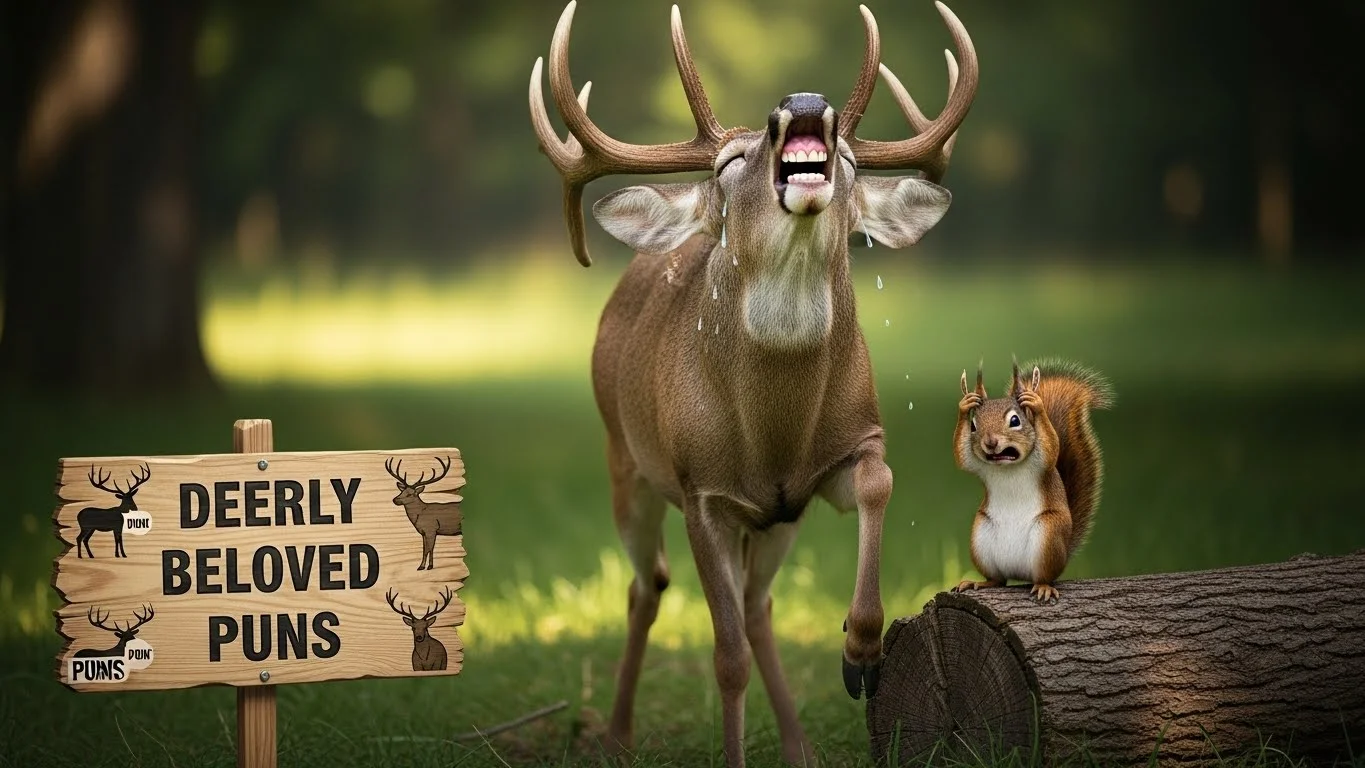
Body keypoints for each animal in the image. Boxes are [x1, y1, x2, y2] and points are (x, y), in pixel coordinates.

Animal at [528, 2, 978, 765]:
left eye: (850, 160)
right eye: (730, 161)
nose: (806, 102)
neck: (773, 438)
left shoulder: (841, 455)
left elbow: (879, 483)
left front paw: (859, 653)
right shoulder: (702, 492)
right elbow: (725, 656)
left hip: (773, 525)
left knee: (758, 604)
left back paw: (799, 747)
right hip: (626, 464)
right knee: (646, 587)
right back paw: (615, 734)